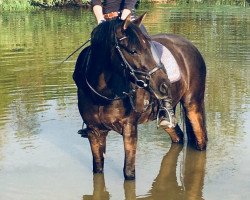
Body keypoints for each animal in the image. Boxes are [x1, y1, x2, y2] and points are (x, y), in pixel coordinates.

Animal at [73, 13, 207, 180]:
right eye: (132, 51)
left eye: (149, 48)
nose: (164, 85)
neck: (102, 95)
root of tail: (190, 46)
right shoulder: (94, 132)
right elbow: (97, 168)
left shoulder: (129, 129)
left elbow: (129, 173)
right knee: (178, 136)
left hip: (193, 104)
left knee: (201, 140)